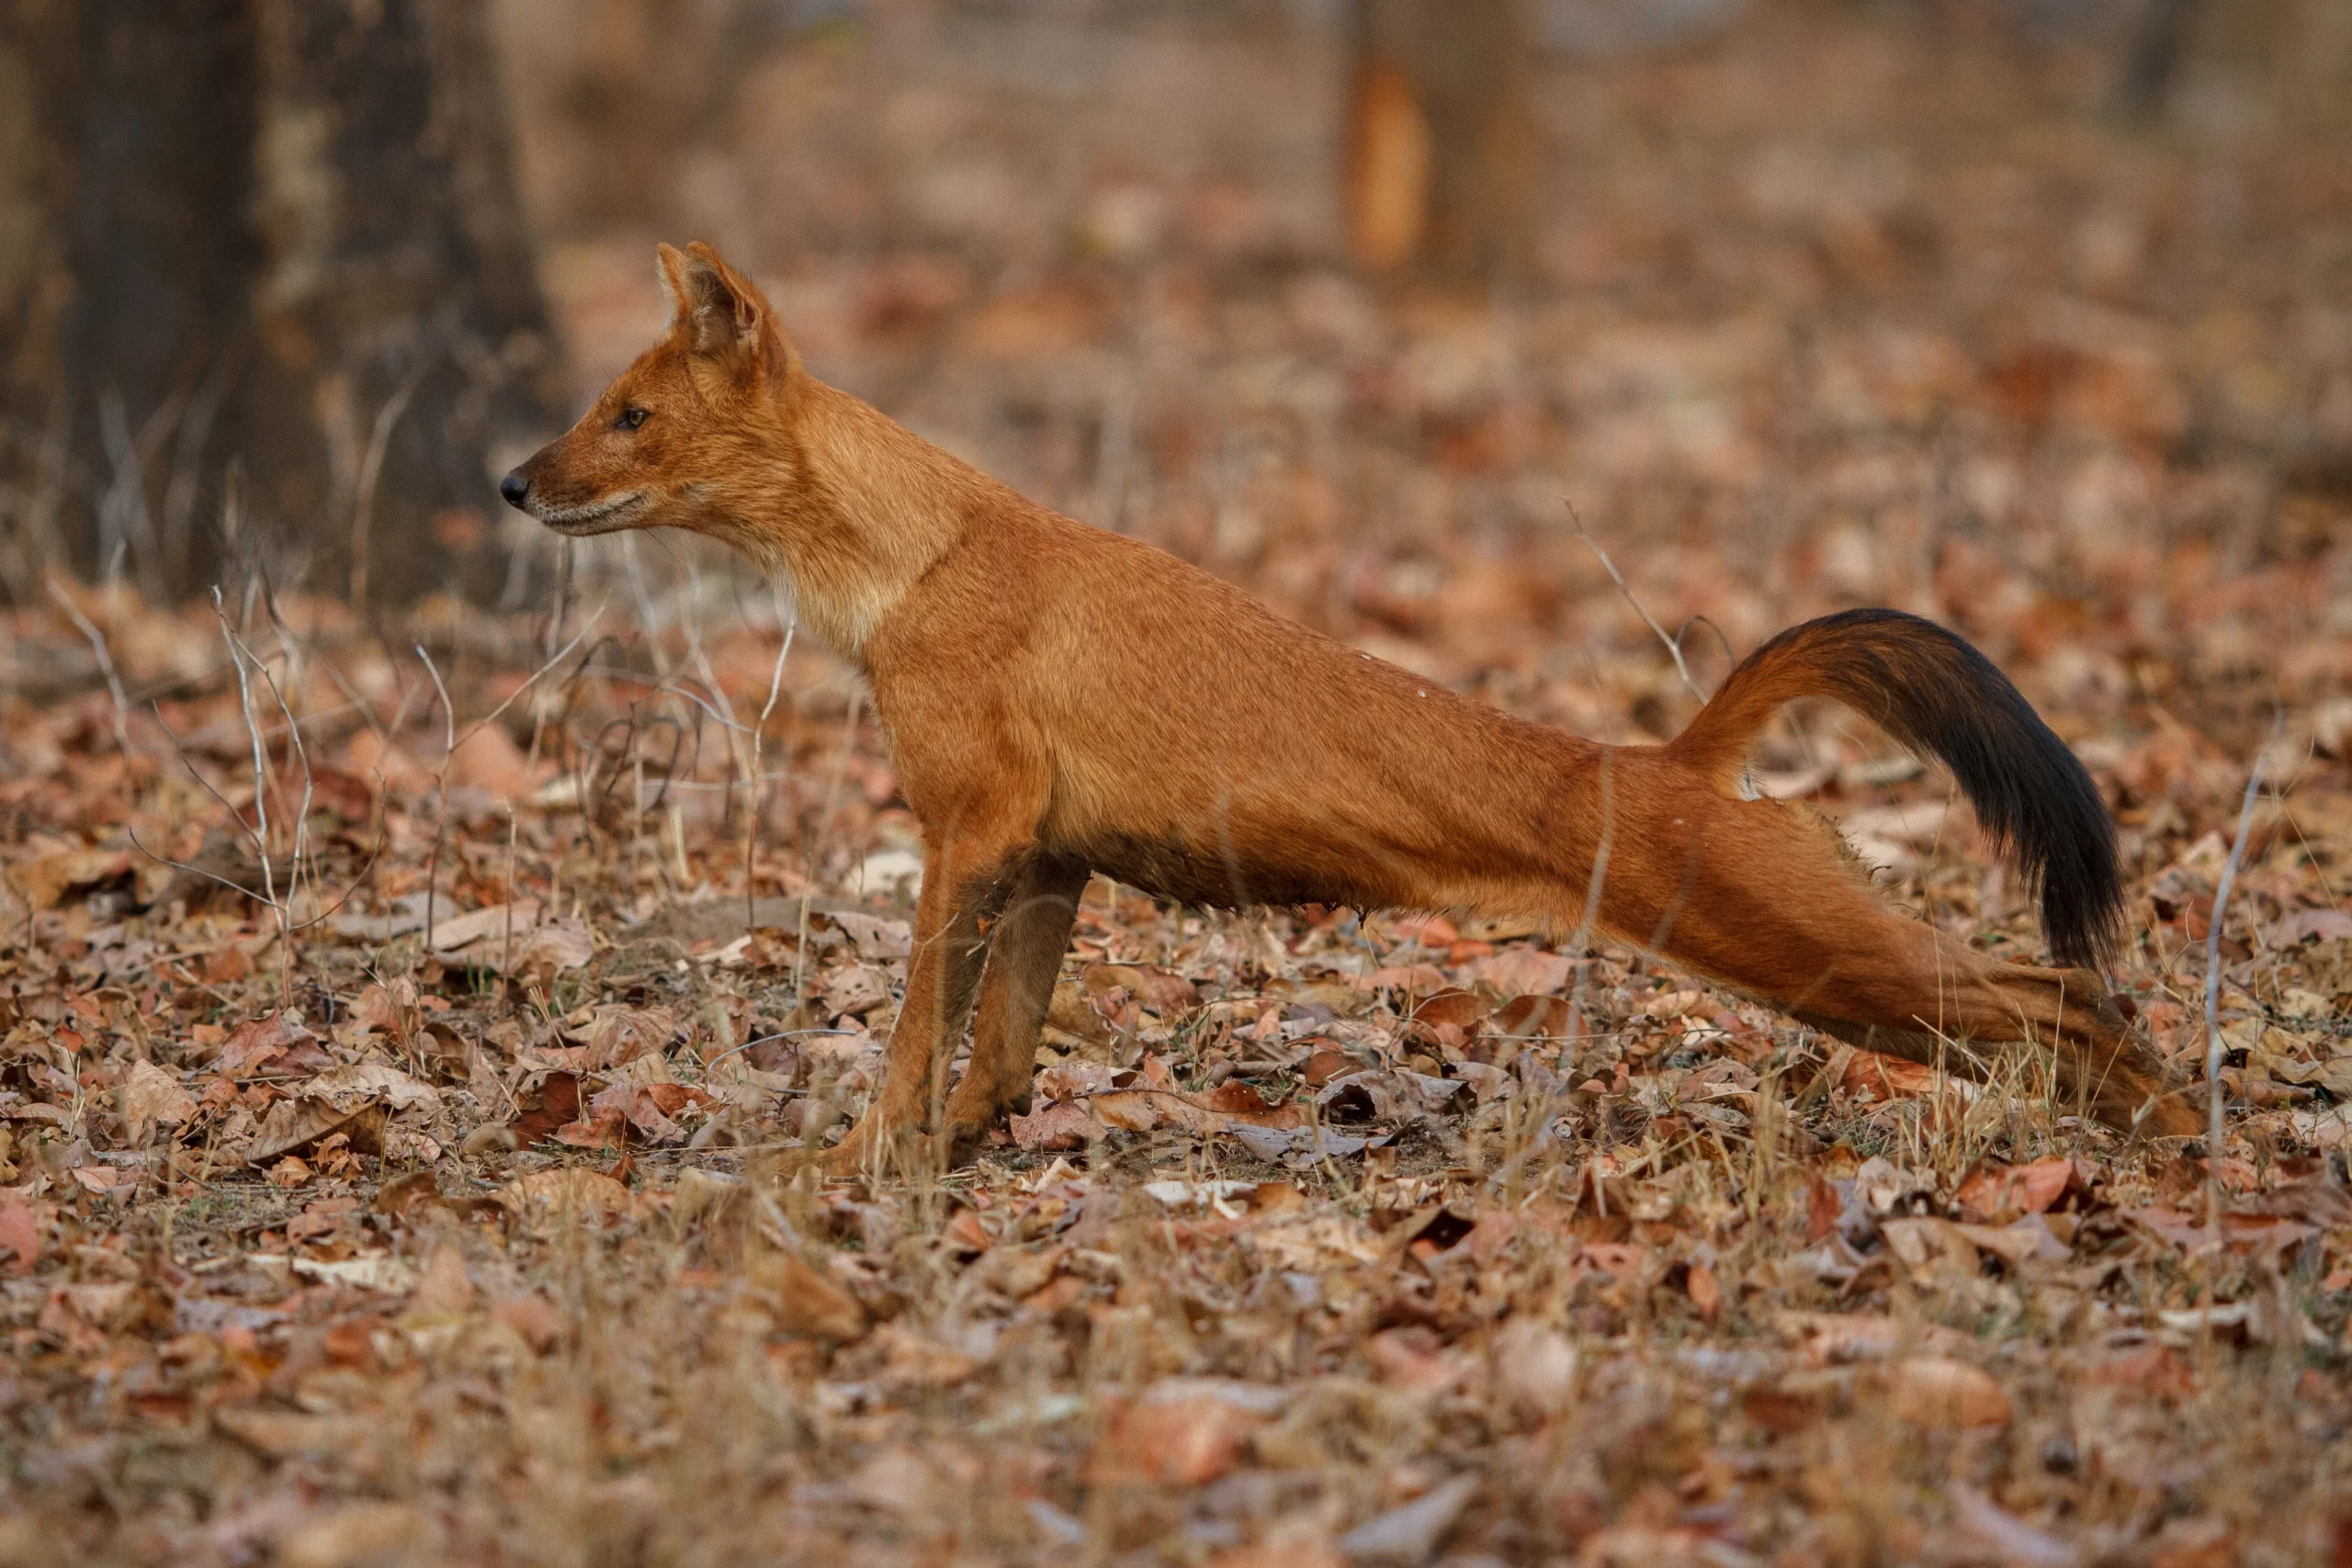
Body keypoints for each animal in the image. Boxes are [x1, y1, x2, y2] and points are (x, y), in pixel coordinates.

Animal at [500, 241, 2197, 1176]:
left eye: (628, 414)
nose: (511, 481)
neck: (920, 557)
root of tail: (1671, 754)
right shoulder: (1047, 861)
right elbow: (998, 1060)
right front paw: (946, 1167)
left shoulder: (967, 835)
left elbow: (920, 1033)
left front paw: (845, 1168)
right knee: (2049, 1006)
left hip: (1805, 946)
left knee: (2067, 996)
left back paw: (2186, 1148)